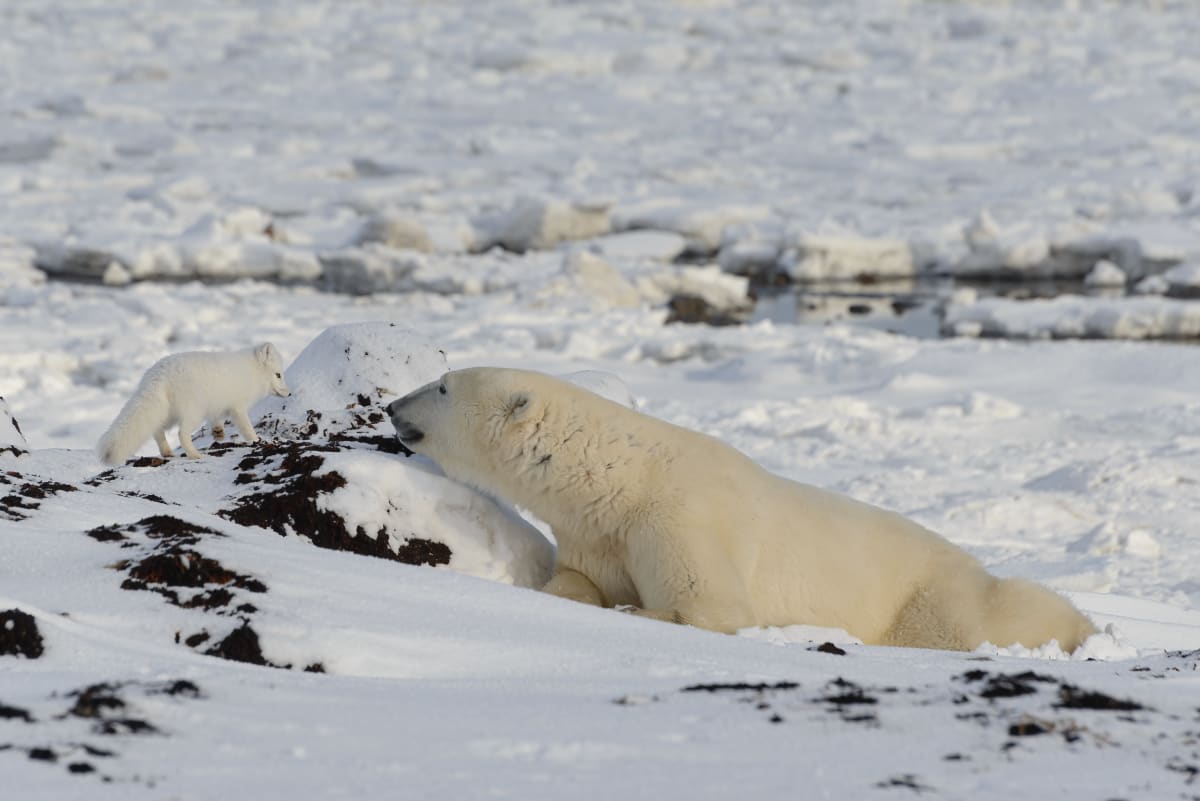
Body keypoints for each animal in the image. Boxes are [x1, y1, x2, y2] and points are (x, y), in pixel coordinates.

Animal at [96, 342, 288, 465]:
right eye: (278, 375)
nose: (289, 392)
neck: (252, 372)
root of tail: (158, 375)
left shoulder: (218, 407)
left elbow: (217, 420)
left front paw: (218, 433)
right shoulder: (238, 408)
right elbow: (247, 429)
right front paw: (257, 440)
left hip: (167, 413)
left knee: (157, 430)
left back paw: (167, 452)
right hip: (193, 412)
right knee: (181, 434)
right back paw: (195, 455)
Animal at [391, 366, 1099, 652]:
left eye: (443, 386)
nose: (395, 407)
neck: (620, 479)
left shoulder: (679, 519)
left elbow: (709, 606)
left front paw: (637, 611)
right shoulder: (597, 531)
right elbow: (577, 580)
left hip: (930, 595)